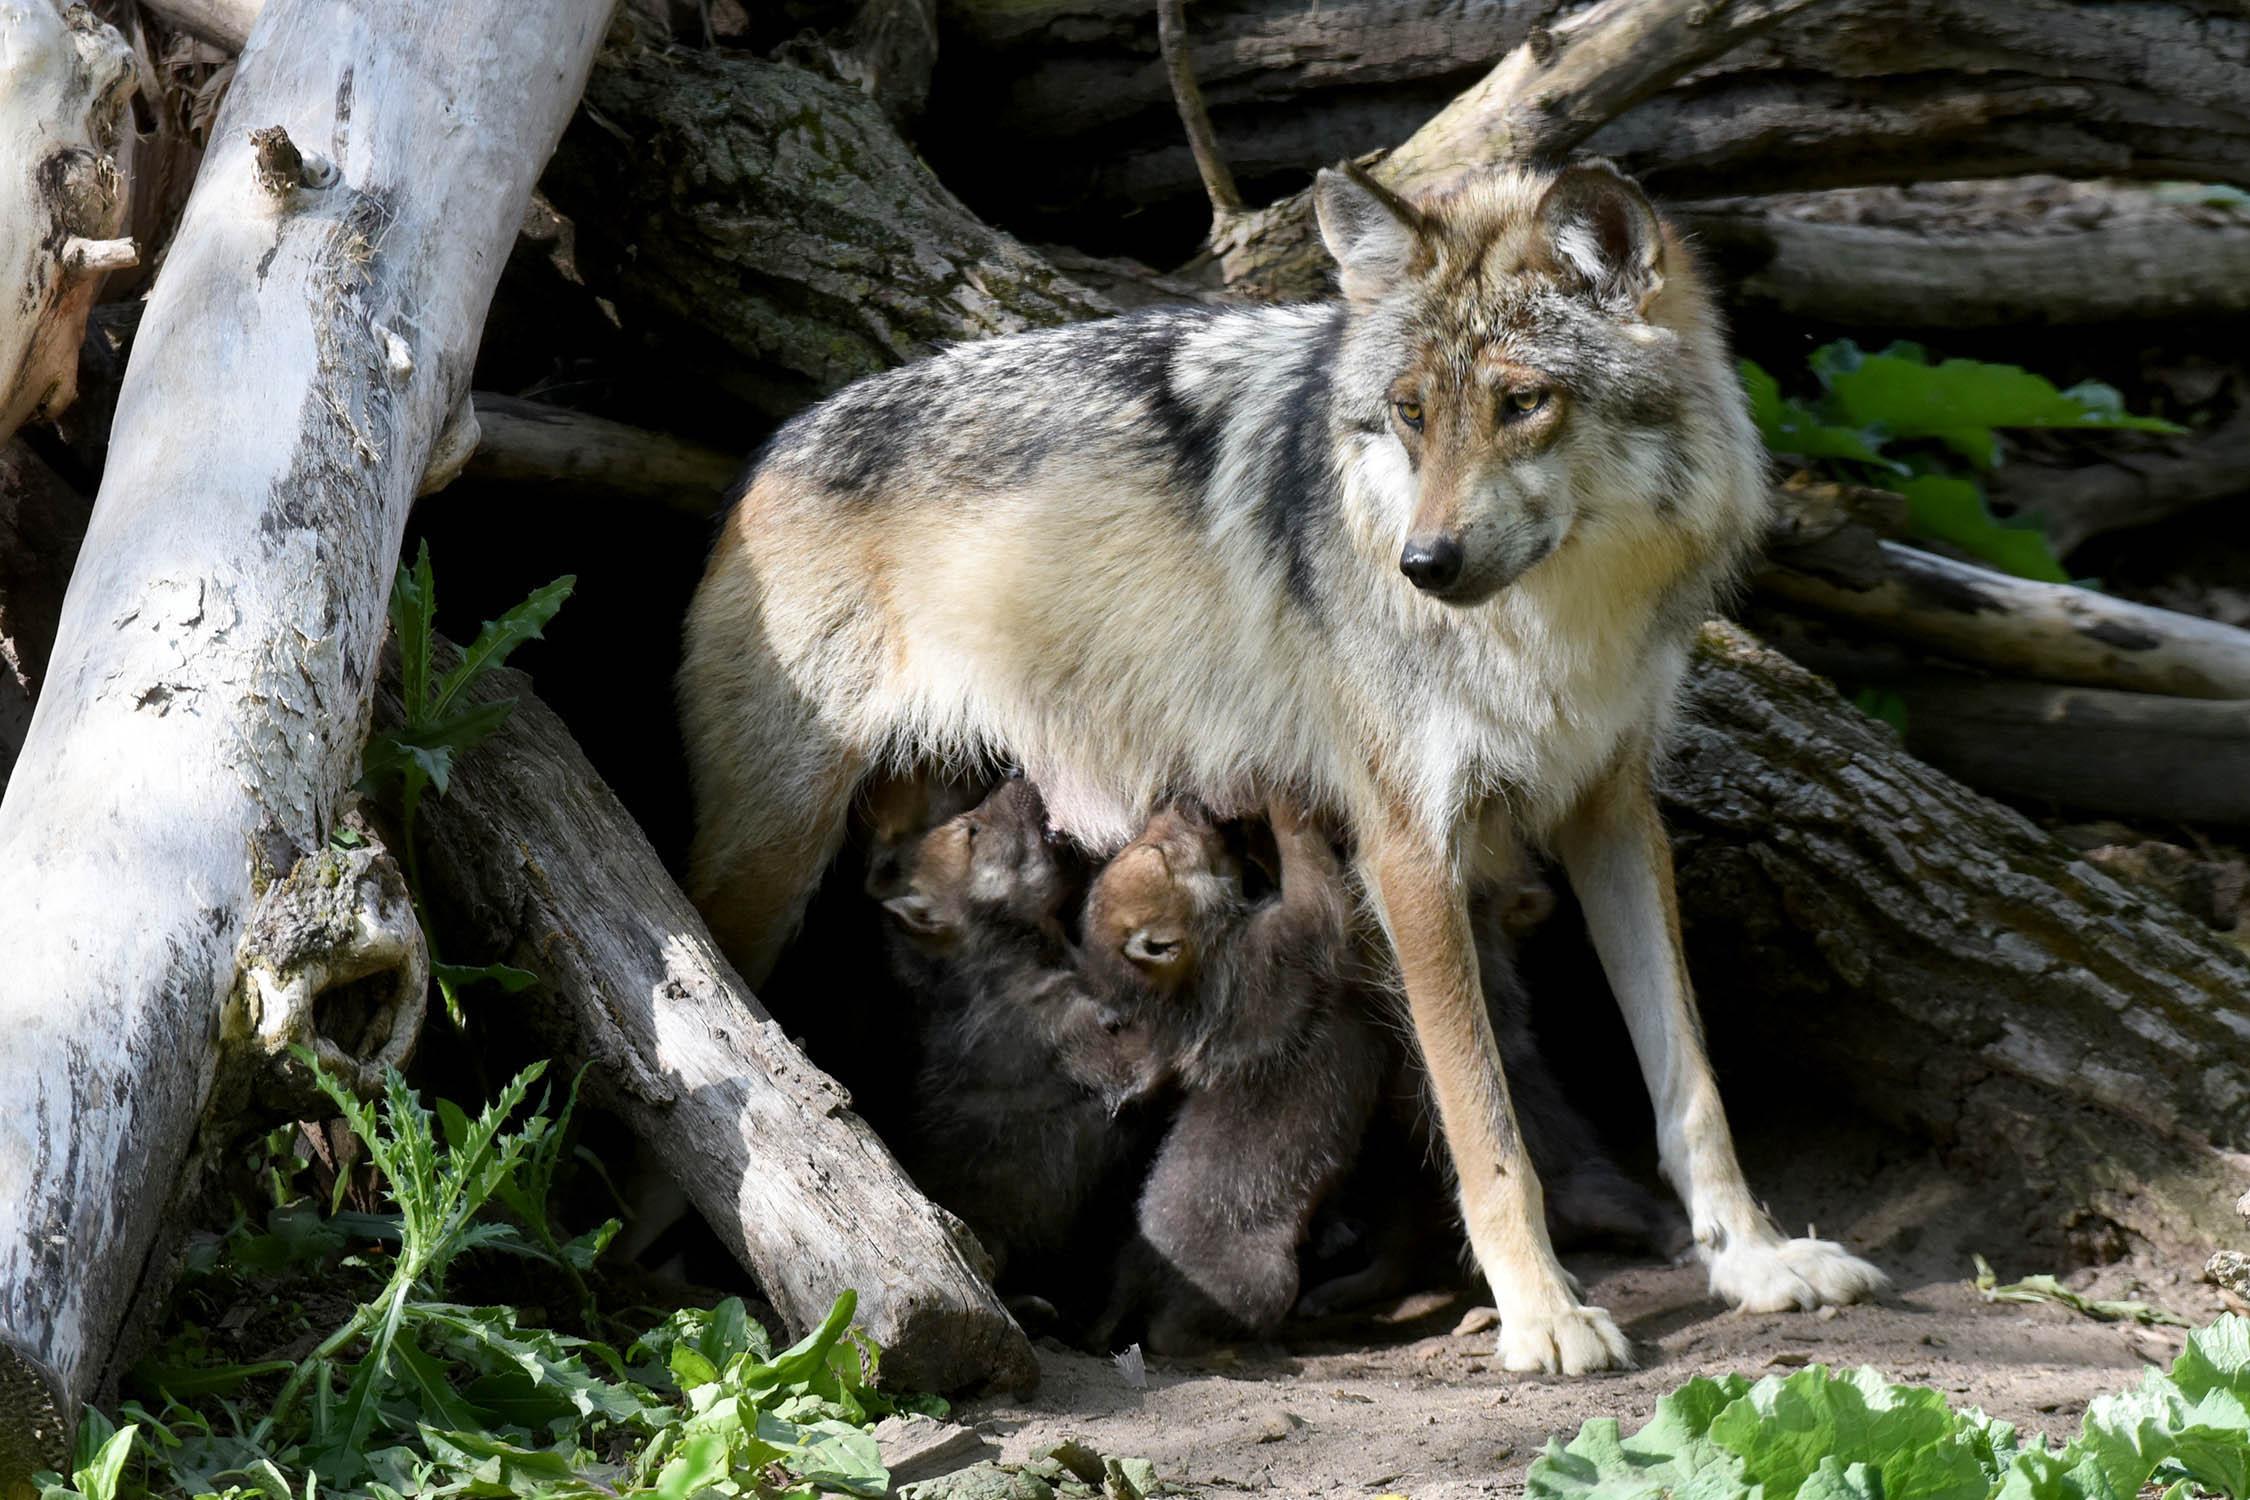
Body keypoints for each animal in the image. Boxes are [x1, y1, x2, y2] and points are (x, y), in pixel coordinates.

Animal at [679, 155, 1881, 1376]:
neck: (1553, 626)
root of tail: (776, 444)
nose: (1422, 564)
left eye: (1523, 402)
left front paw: (1755, 1260)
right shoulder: (1408, 851)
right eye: (1410, 412)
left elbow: (1690, 1084)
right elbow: (1485, 1127)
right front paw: (1544, 1312)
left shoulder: (1613, 811)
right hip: (764, 875)